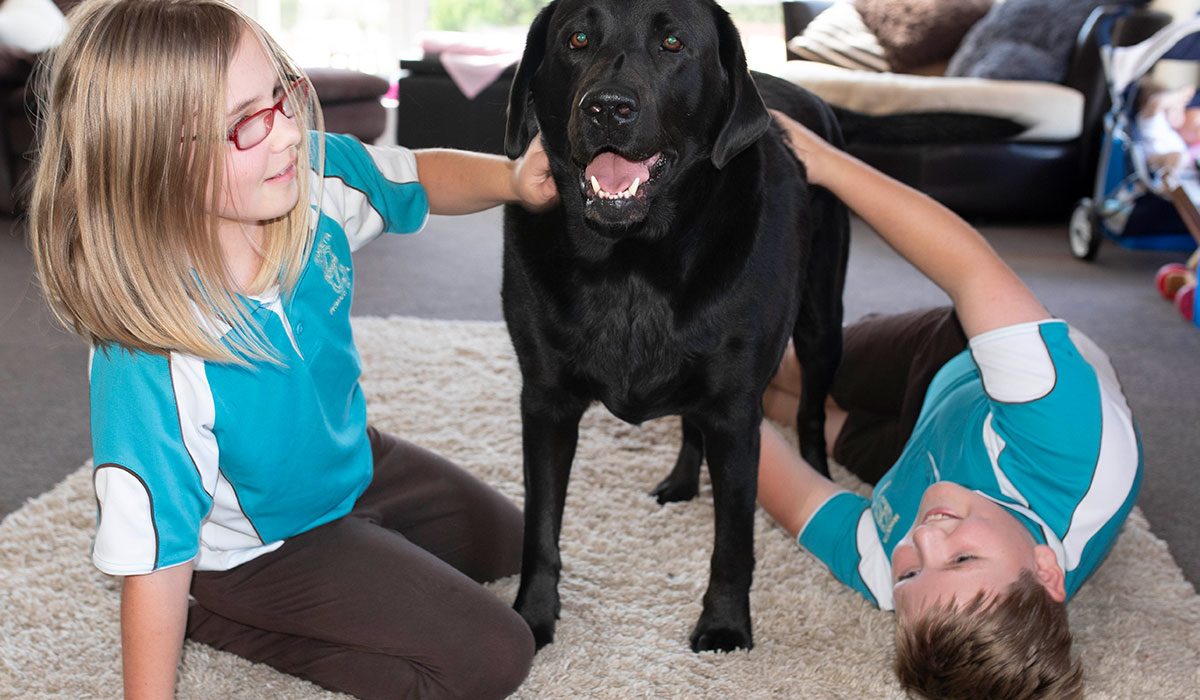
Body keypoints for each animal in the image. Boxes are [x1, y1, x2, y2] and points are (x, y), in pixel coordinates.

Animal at [501, 0, 849, 657]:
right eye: (575, 39)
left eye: (673, 44)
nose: (608, 107)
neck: (631, 264)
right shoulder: (545, 400)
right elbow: (540, 527)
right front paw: (531, 619)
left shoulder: (736, 410)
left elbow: (733, 539)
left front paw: (725, 625)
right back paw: (683, 481)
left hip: (822, 320)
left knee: (813, 410)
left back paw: (818, 475)